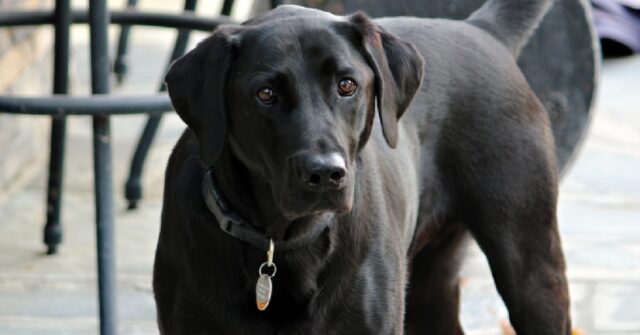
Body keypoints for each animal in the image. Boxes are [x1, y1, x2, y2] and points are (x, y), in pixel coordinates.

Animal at [154, 0, 568, 334]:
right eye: (265, 94)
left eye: (347, 85)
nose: (326, 174)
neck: (282, 242)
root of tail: (481, 30)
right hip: (429, 287)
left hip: (532, 269)